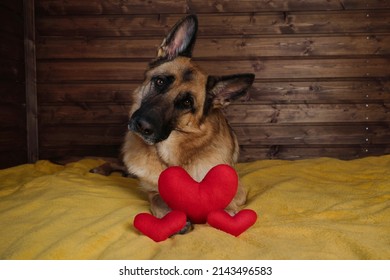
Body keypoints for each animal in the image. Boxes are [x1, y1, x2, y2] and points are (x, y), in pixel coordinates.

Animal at [100, 14, 254, 230]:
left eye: (186, 103)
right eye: (160, 81)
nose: (142, 126)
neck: (173, 157)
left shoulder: (240, 189)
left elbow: (228, 203)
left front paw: (228, 215)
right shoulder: (151, 191)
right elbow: (158, 199)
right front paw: (172, 218)